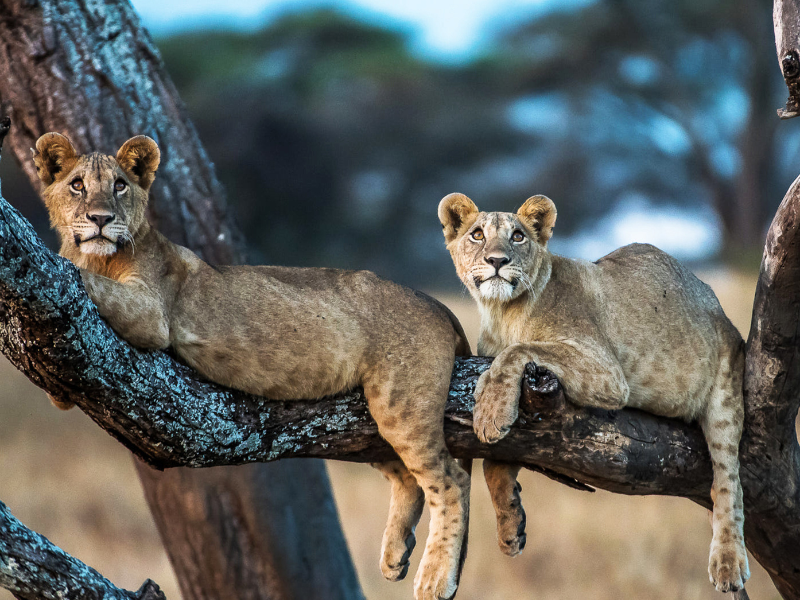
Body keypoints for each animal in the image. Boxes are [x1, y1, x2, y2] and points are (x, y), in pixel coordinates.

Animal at [32, 132, 468, 600]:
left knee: (452, 480)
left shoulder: (151, 312)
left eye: (119, 186)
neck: (102, 255)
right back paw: (394, 554)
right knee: (408, 478)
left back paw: (436, 577)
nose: (100, 219)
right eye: (77, 185)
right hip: (365, 421)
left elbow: (83, 278)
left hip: (400, 405)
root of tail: (435, 303)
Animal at [438, 193, 752, 596]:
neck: (502, 313)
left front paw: (490, 409)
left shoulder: (606, 371)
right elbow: (495, 462)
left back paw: (728, 562)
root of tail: (715, 304)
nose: (497, 260)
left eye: (518, 236)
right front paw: (510, 527)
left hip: (726, 390)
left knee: (728, 482)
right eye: (477, 235)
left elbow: (520, 350)